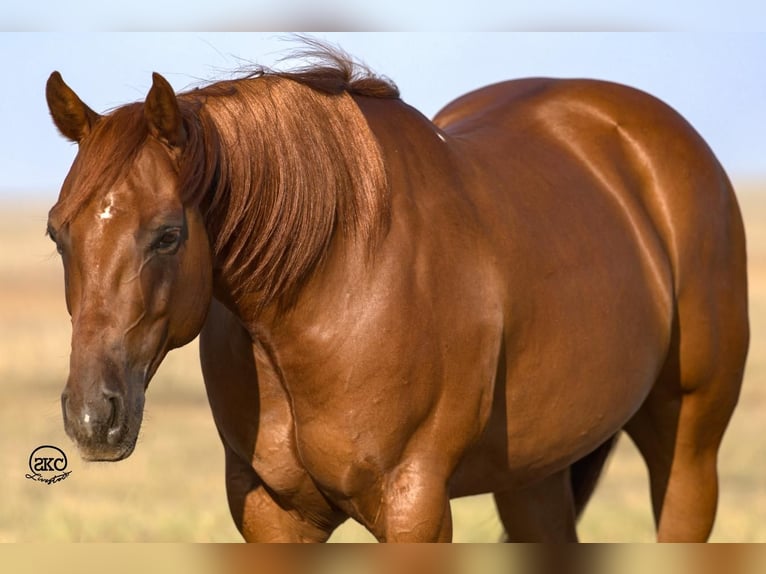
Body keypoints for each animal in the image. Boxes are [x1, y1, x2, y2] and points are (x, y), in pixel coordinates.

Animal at [46, 49, 752, 544]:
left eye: (168, 234)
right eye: (58, 233)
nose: (92, 417)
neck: (329, 284)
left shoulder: (415, 508)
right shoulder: (270, 513)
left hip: (688, 450)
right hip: (534, 476)